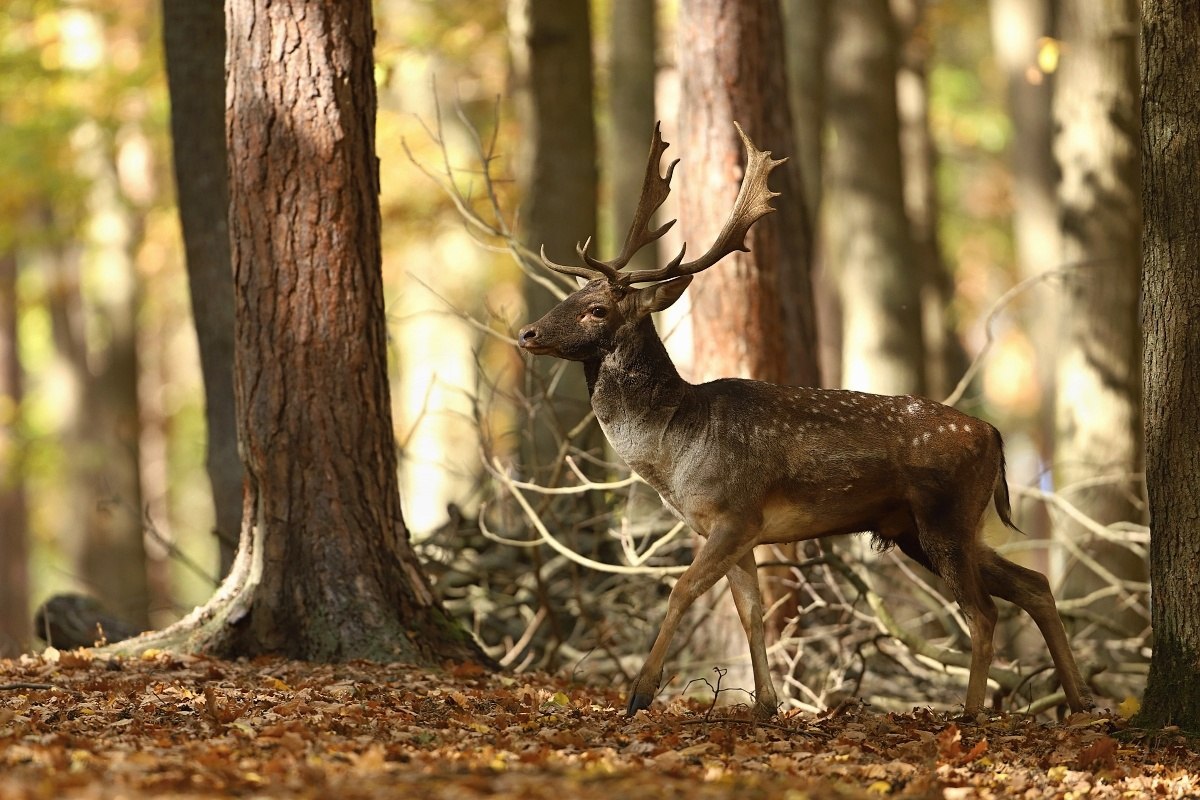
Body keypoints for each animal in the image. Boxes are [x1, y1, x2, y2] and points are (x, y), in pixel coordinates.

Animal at [511, 123, 1094, 719]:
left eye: (597, 309)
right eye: (572, 293)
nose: (527, 333)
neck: (673, 450)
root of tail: (995, 435)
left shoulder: (735, 513)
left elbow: (682, 590)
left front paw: (639, 694)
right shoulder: (737, 532)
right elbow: (752, 614)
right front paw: (766, 704)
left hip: (944, 516)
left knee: (983, 611)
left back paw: (974, 711)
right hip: (923, 527)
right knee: (1034, 583)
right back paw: (1079, 700)